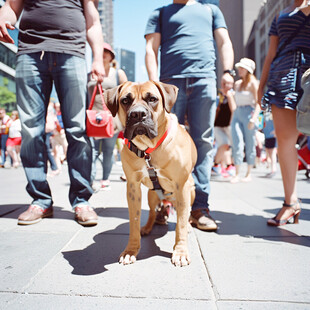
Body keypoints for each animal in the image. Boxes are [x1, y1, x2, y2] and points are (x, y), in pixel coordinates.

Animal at [103, 80, 196, 266]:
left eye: (152, 99)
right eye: (125, 100)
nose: (138, 114)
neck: (148, 149)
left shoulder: (182, 186)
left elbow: (181, 223)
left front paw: (180, 252)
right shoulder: (133, 188)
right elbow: (134, 219)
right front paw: (131, 250)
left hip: (191, 192)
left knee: (186, 213)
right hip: (151, 195)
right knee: (153, 212)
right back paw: (147, 227)